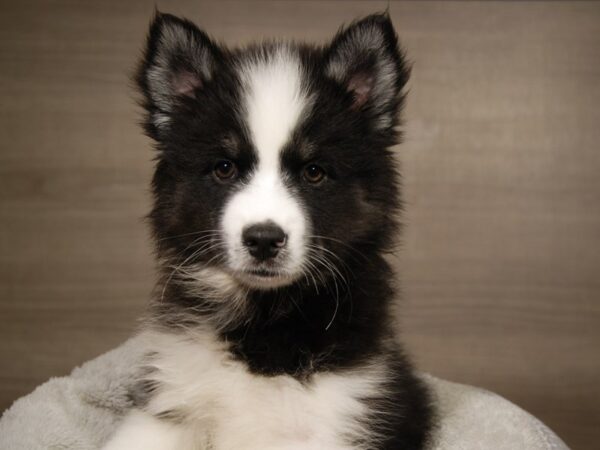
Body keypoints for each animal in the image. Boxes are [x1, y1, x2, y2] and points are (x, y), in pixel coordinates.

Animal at [102, 10, 432, 450]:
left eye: (314, 172)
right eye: (224, 168)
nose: (263, 240)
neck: (265, 317)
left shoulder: (346, 412)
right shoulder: (168, 405)